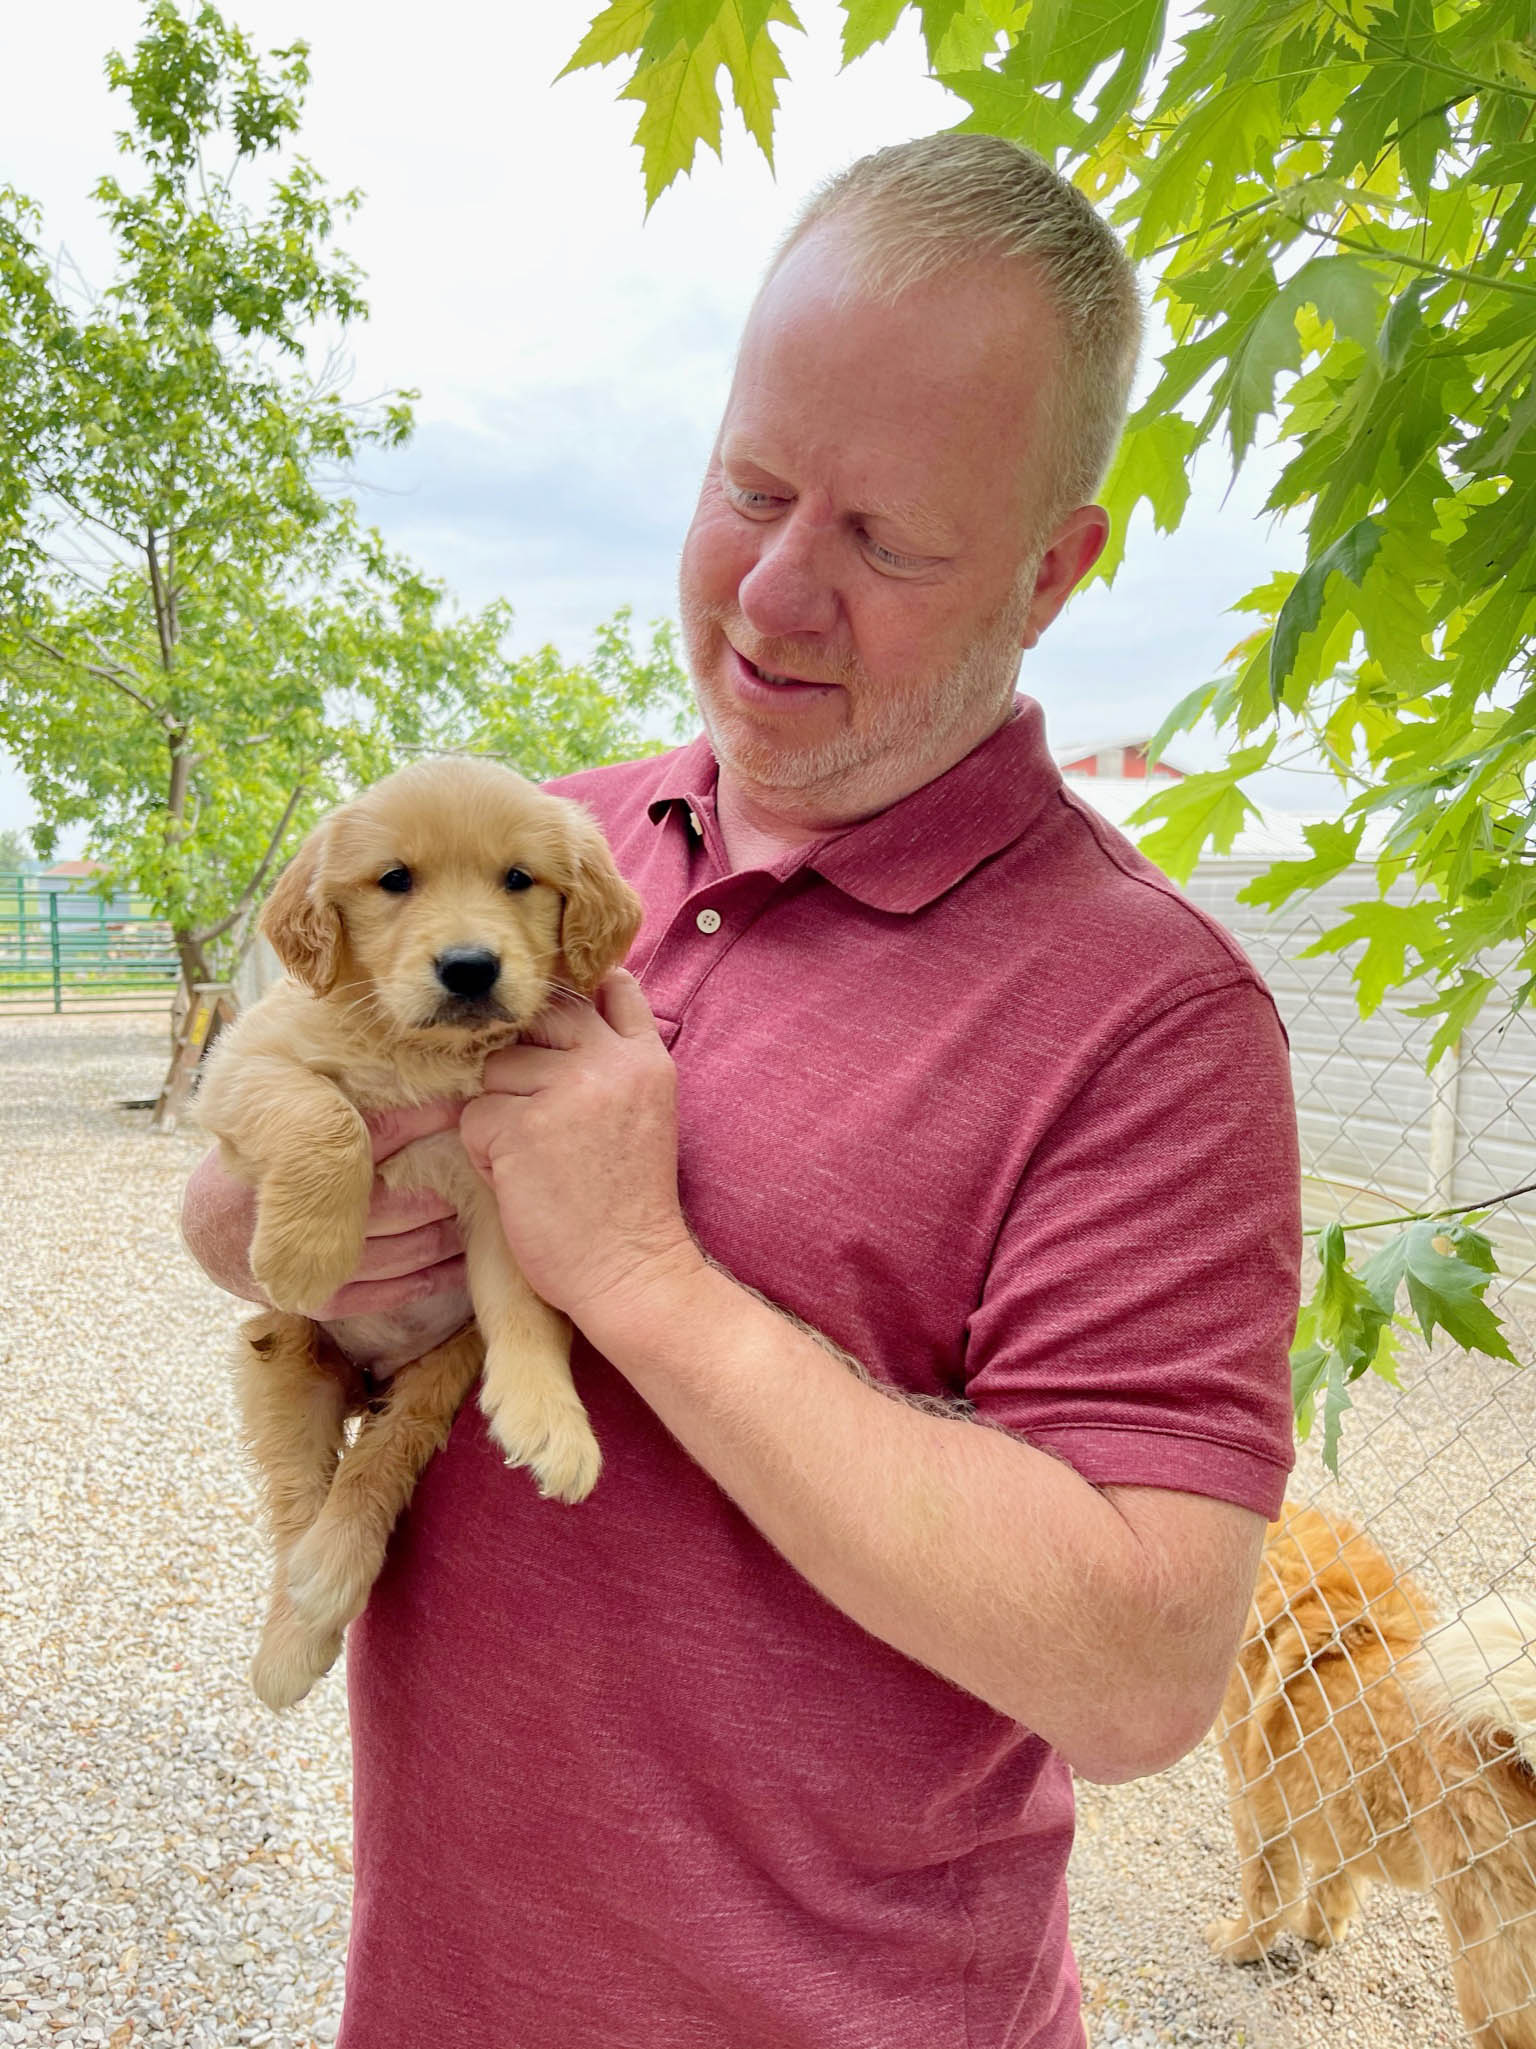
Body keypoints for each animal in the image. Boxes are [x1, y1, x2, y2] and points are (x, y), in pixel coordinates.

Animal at [196, 762, 643, 1704]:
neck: (421, 1056)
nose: (470, 967)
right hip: (283, 1363)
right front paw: (304, 1252)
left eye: (519, 878)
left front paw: (554, 1416)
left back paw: (334, 1566)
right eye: (395, 879)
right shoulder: (246, 1063)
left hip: (438, 1373)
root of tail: (367, 1375)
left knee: (378, 1463)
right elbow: (328, 1117)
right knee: (297, 1498)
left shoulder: (507, 1181)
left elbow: (528, 1309)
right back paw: (293, 1631)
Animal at [1212, 1499, 1536, 2040]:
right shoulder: (1339, 1808)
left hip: (1486, 1977)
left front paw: (1237, 1948)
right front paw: (1321, 1933)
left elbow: (1263, 1903)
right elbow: (1332, 1886)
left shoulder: (1254, 1808)